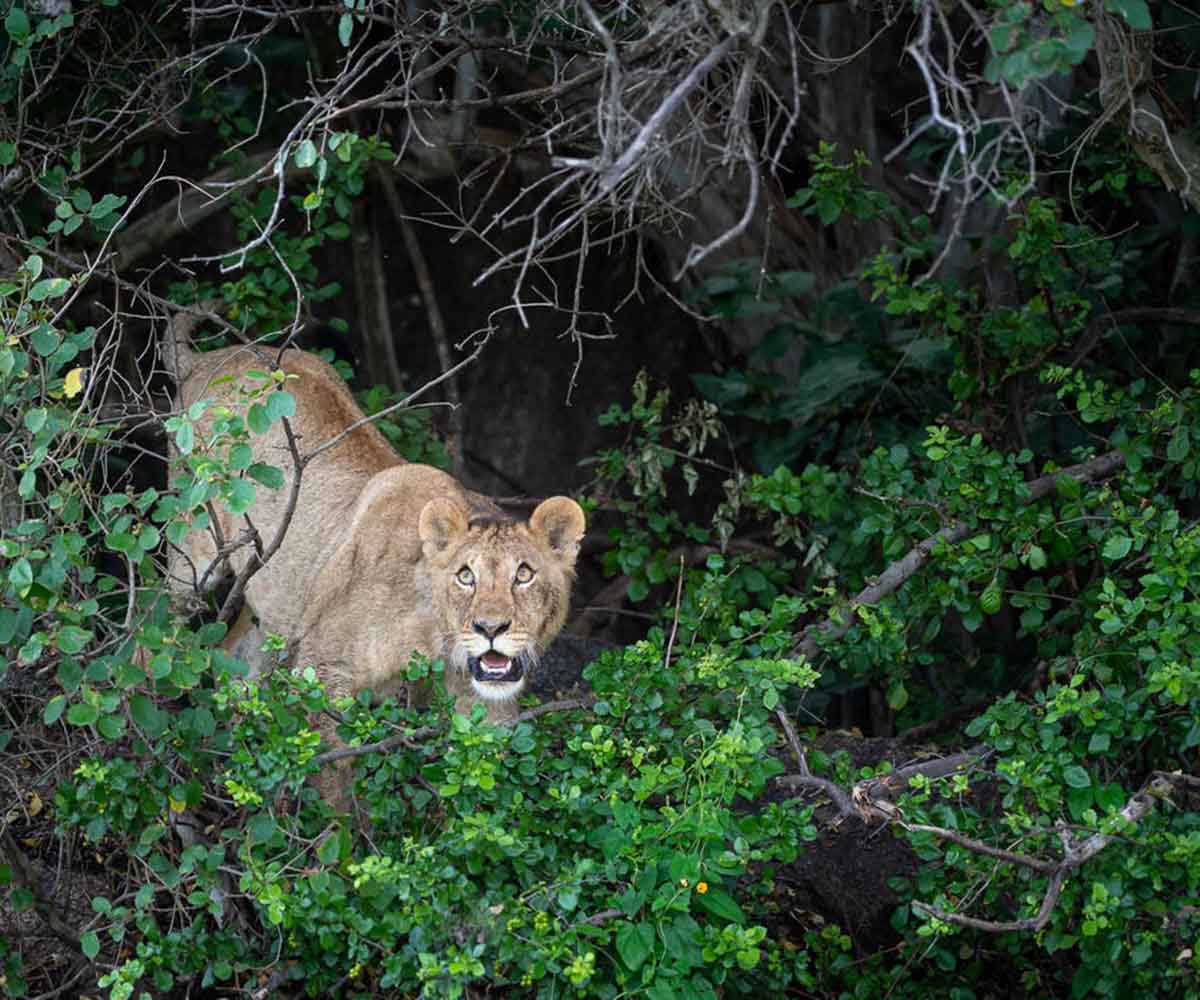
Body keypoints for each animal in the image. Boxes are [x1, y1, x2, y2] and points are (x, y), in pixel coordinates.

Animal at [164, 328, 585, 811]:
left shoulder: (486, 713)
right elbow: (336, 795)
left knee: (235, 659)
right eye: (465, 575)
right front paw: (335, 831)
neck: (434, 639)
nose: (490, 628)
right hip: (192, 555)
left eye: (524, 574)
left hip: (275, 605)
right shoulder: (324, 673)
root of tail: (207, 357)